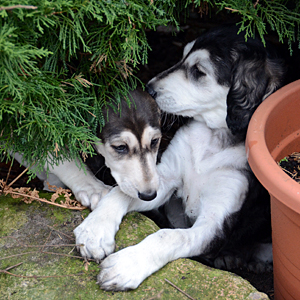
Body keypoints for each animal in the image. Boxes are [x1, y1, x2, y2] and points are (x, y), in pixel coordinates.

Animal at [74, 25, 284, 290]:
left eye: (198, 71)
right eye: (182, 56)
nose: (149, 88)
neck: (212, 142)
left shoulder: (214, 222)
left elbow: (169, 236)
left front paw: (126, 265)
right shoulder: (163, 180)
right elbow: (120, 192)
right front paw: (95, 230)